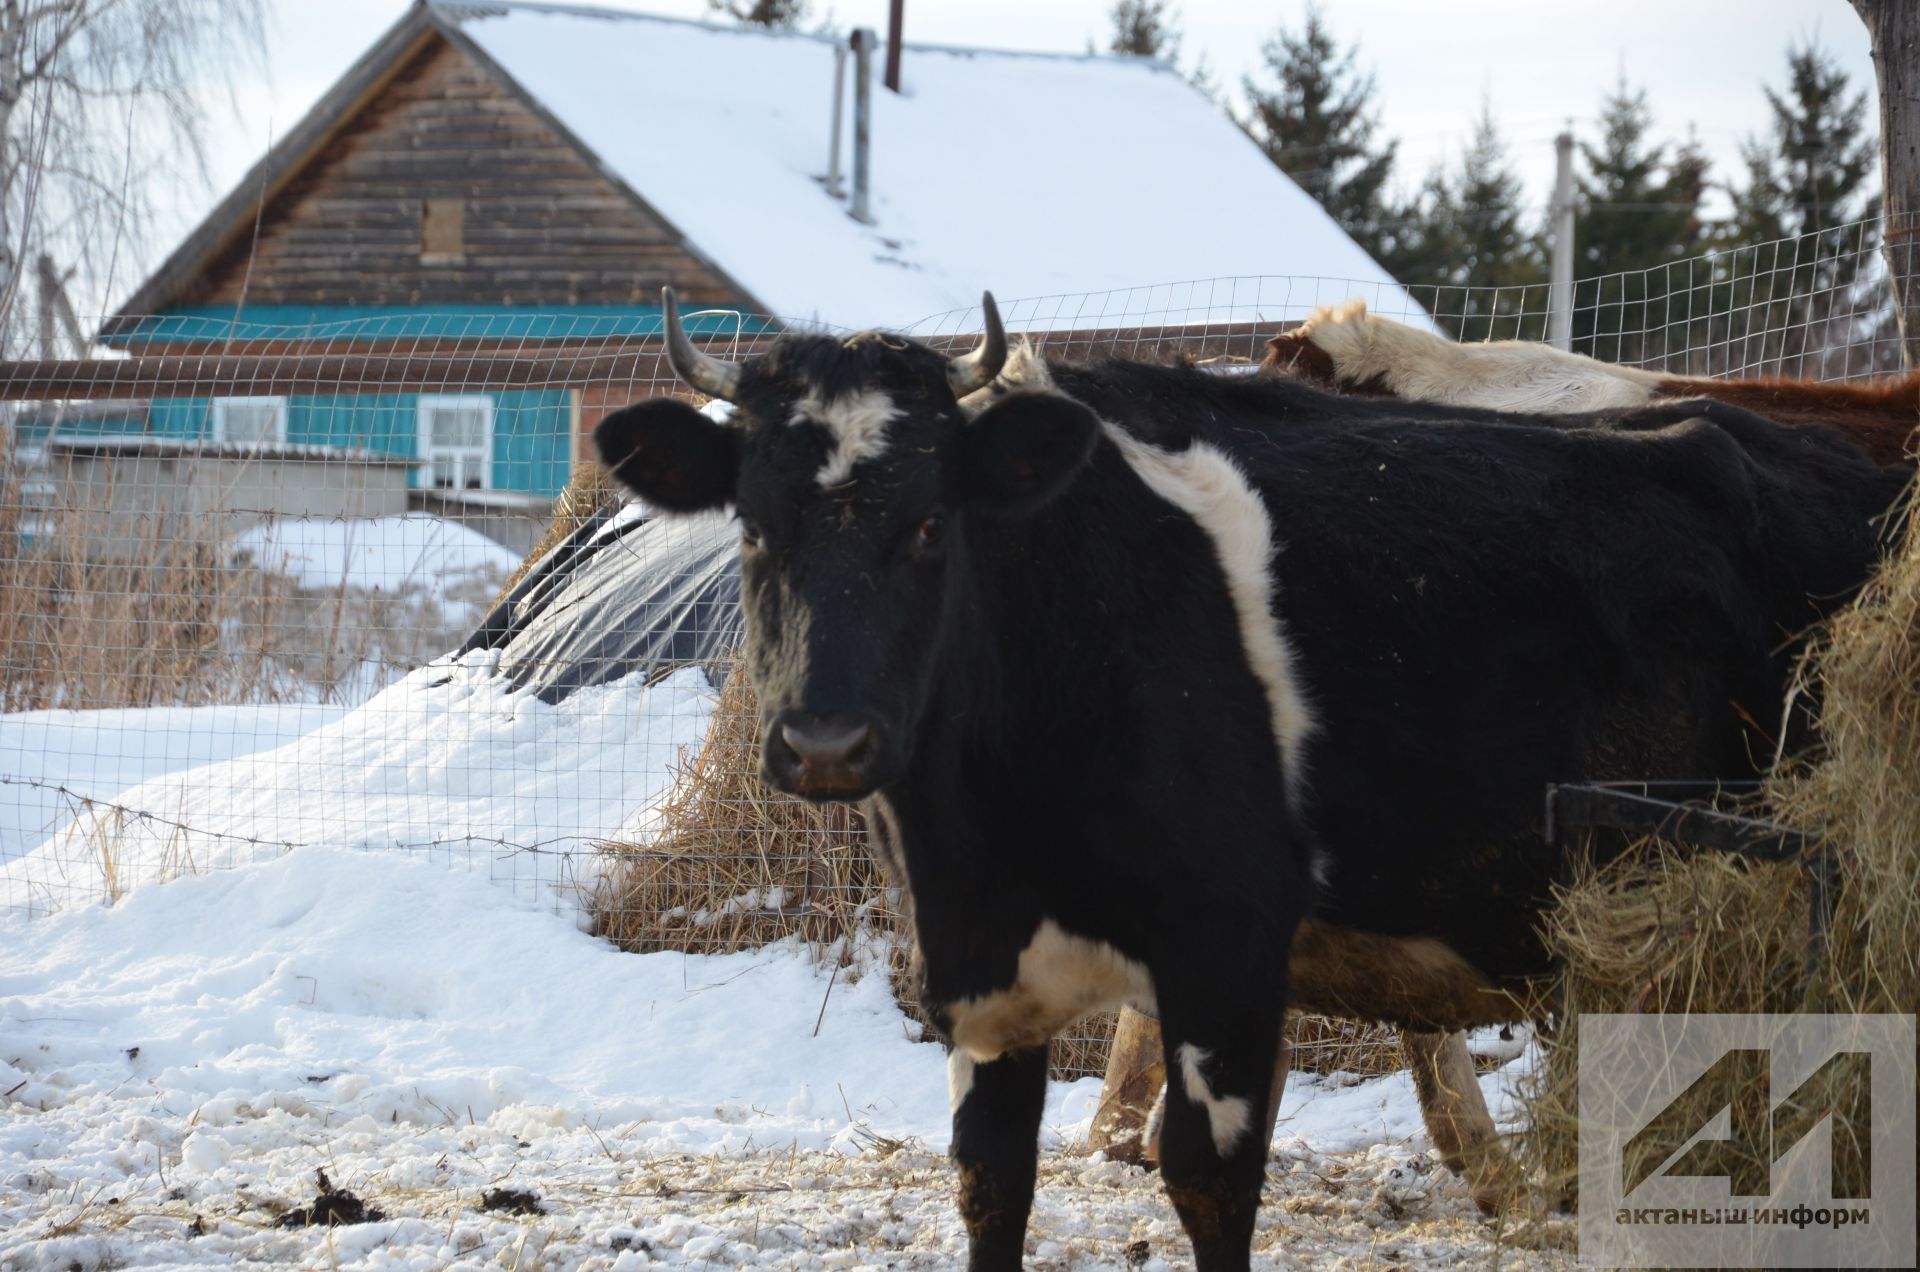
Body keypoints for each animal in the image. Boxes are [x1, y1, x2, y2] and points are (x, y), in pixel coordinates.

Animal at [599, 292, 1904, 1272]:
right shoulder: (978, 974)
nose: (824, 743)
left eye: (930, 525)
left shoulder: (1226, 947)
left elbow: (1209, 1181)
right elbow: (988, 1185)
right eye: (752, 524)